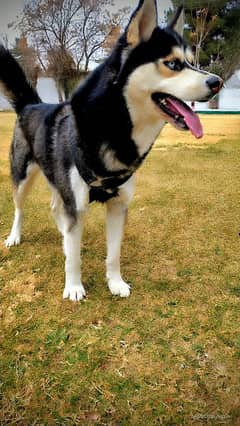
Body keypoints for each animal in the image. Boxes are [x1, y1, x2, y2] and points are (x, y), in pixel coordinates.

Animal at [0, 0, 223, 300]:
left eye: (191, 62)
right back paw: (16, 236)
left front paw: (115, 283)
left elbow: (113, 254)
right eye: (173, 64)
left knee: (56, 208)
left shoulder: (118, 205)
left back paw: (63, 235)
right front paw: (74, 287)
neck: (114, 126)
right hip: (23, 177)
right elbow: (74, 257)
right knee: (20, 209)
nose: (217, 82)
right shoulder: (76, 201)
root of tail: (31, 104)